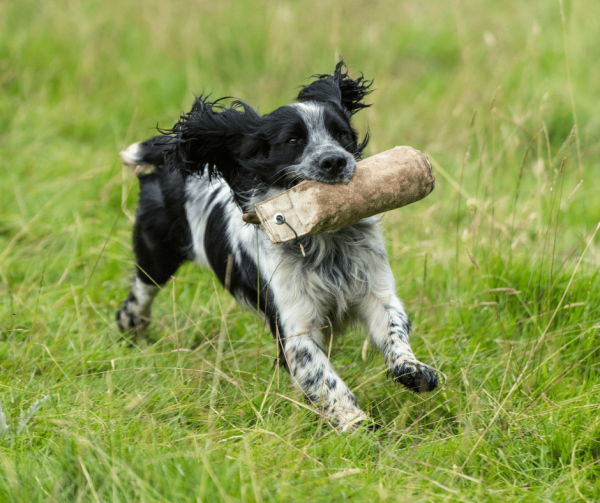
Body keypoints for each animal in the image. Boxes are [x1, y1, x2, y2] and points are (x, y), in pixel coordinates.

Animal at [116, 61, 436, 432]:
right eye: (293, 140)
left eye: (342, 135)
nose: (335, 161)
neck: (324, 240)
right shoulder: (295, 326)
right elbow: (323, 377)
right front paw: (355, 424)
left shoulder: (375, 291)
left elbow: (394, 329)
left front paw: (413, 371)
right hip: (155, 256)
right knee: (138, 296)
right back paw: (132, 330)